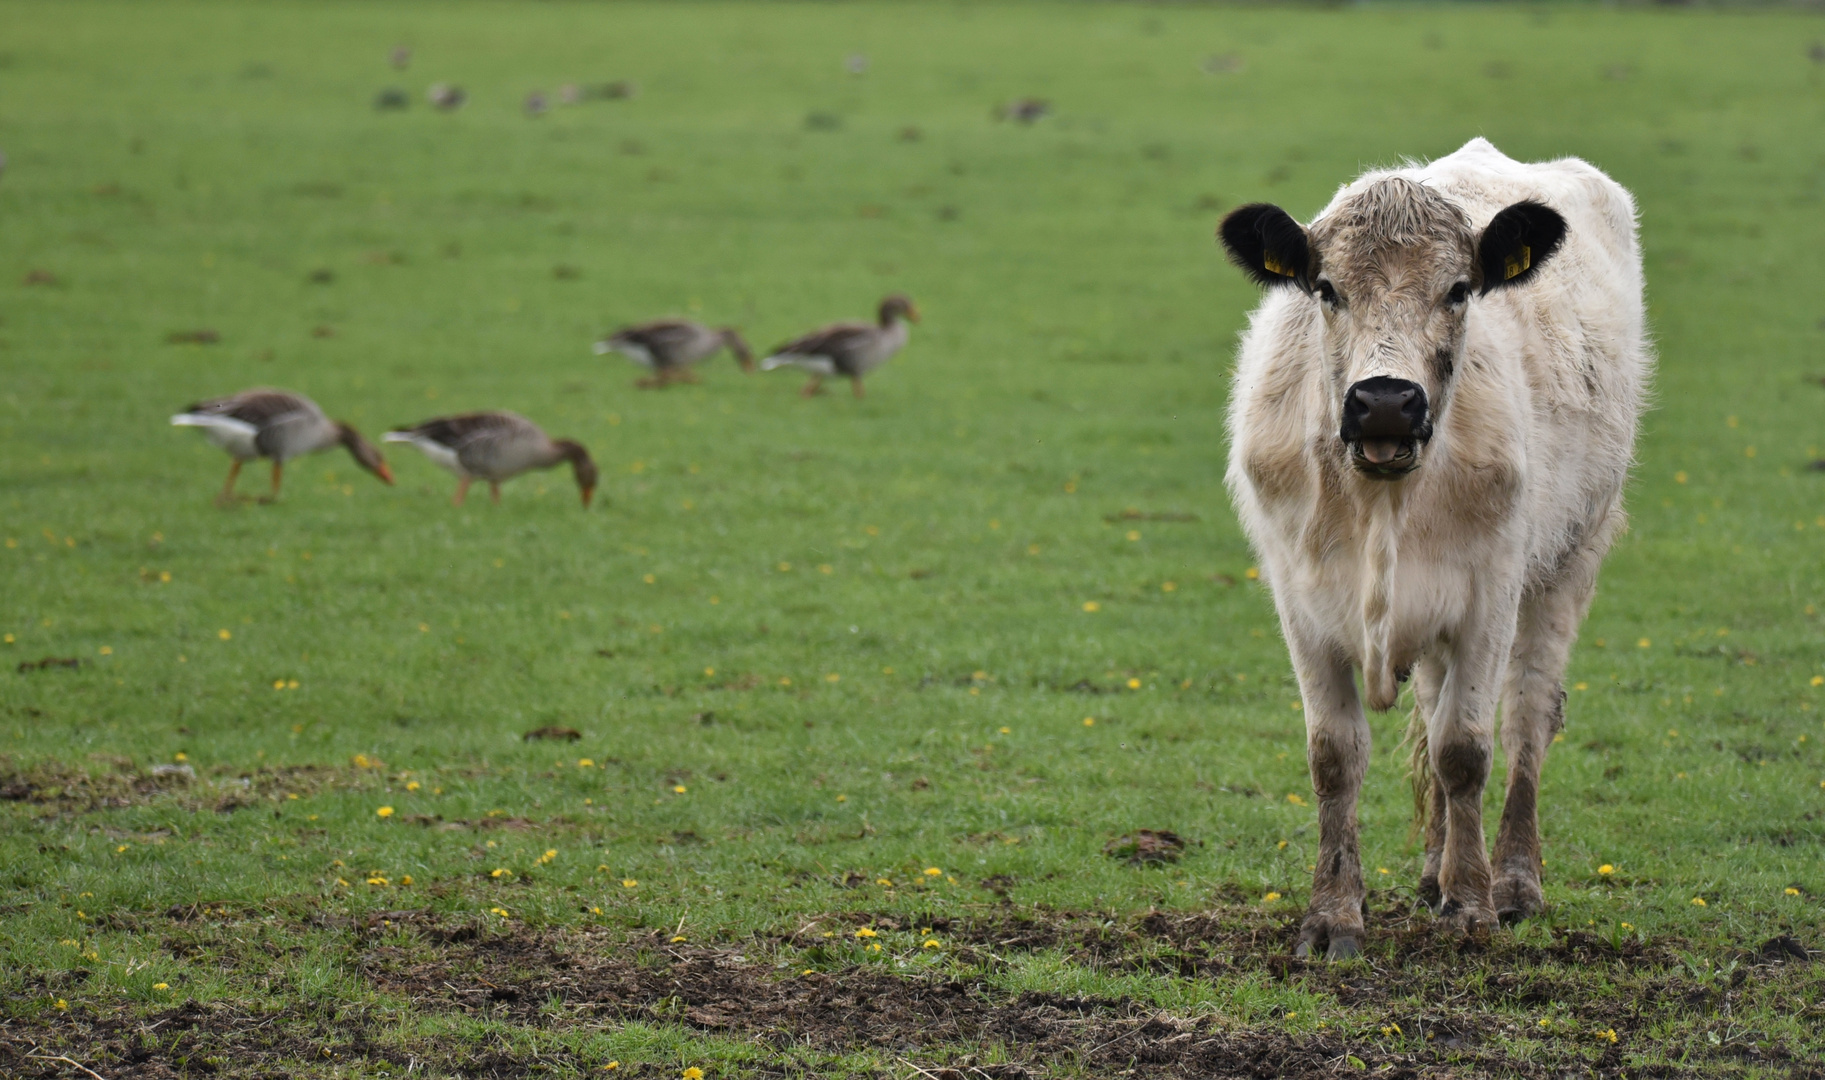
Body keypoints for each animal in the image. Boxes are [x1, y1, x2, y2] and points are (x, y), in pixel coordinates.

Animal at [1219, 139, 1649, 955]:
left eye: (1457, 290)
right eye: (1325, 288)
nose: (1385, 401)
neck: (1382, 502)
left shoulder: (1491, 593)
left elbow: (1465, 749)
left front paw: (1472, 907)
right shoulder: (1300, 601)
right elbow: (1335, 756)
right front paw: (1333, 914)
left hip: (1569, 559)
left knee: (1526, 717)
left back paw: (1509, 879)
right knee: (1430, 702)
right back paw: (1432, 871)